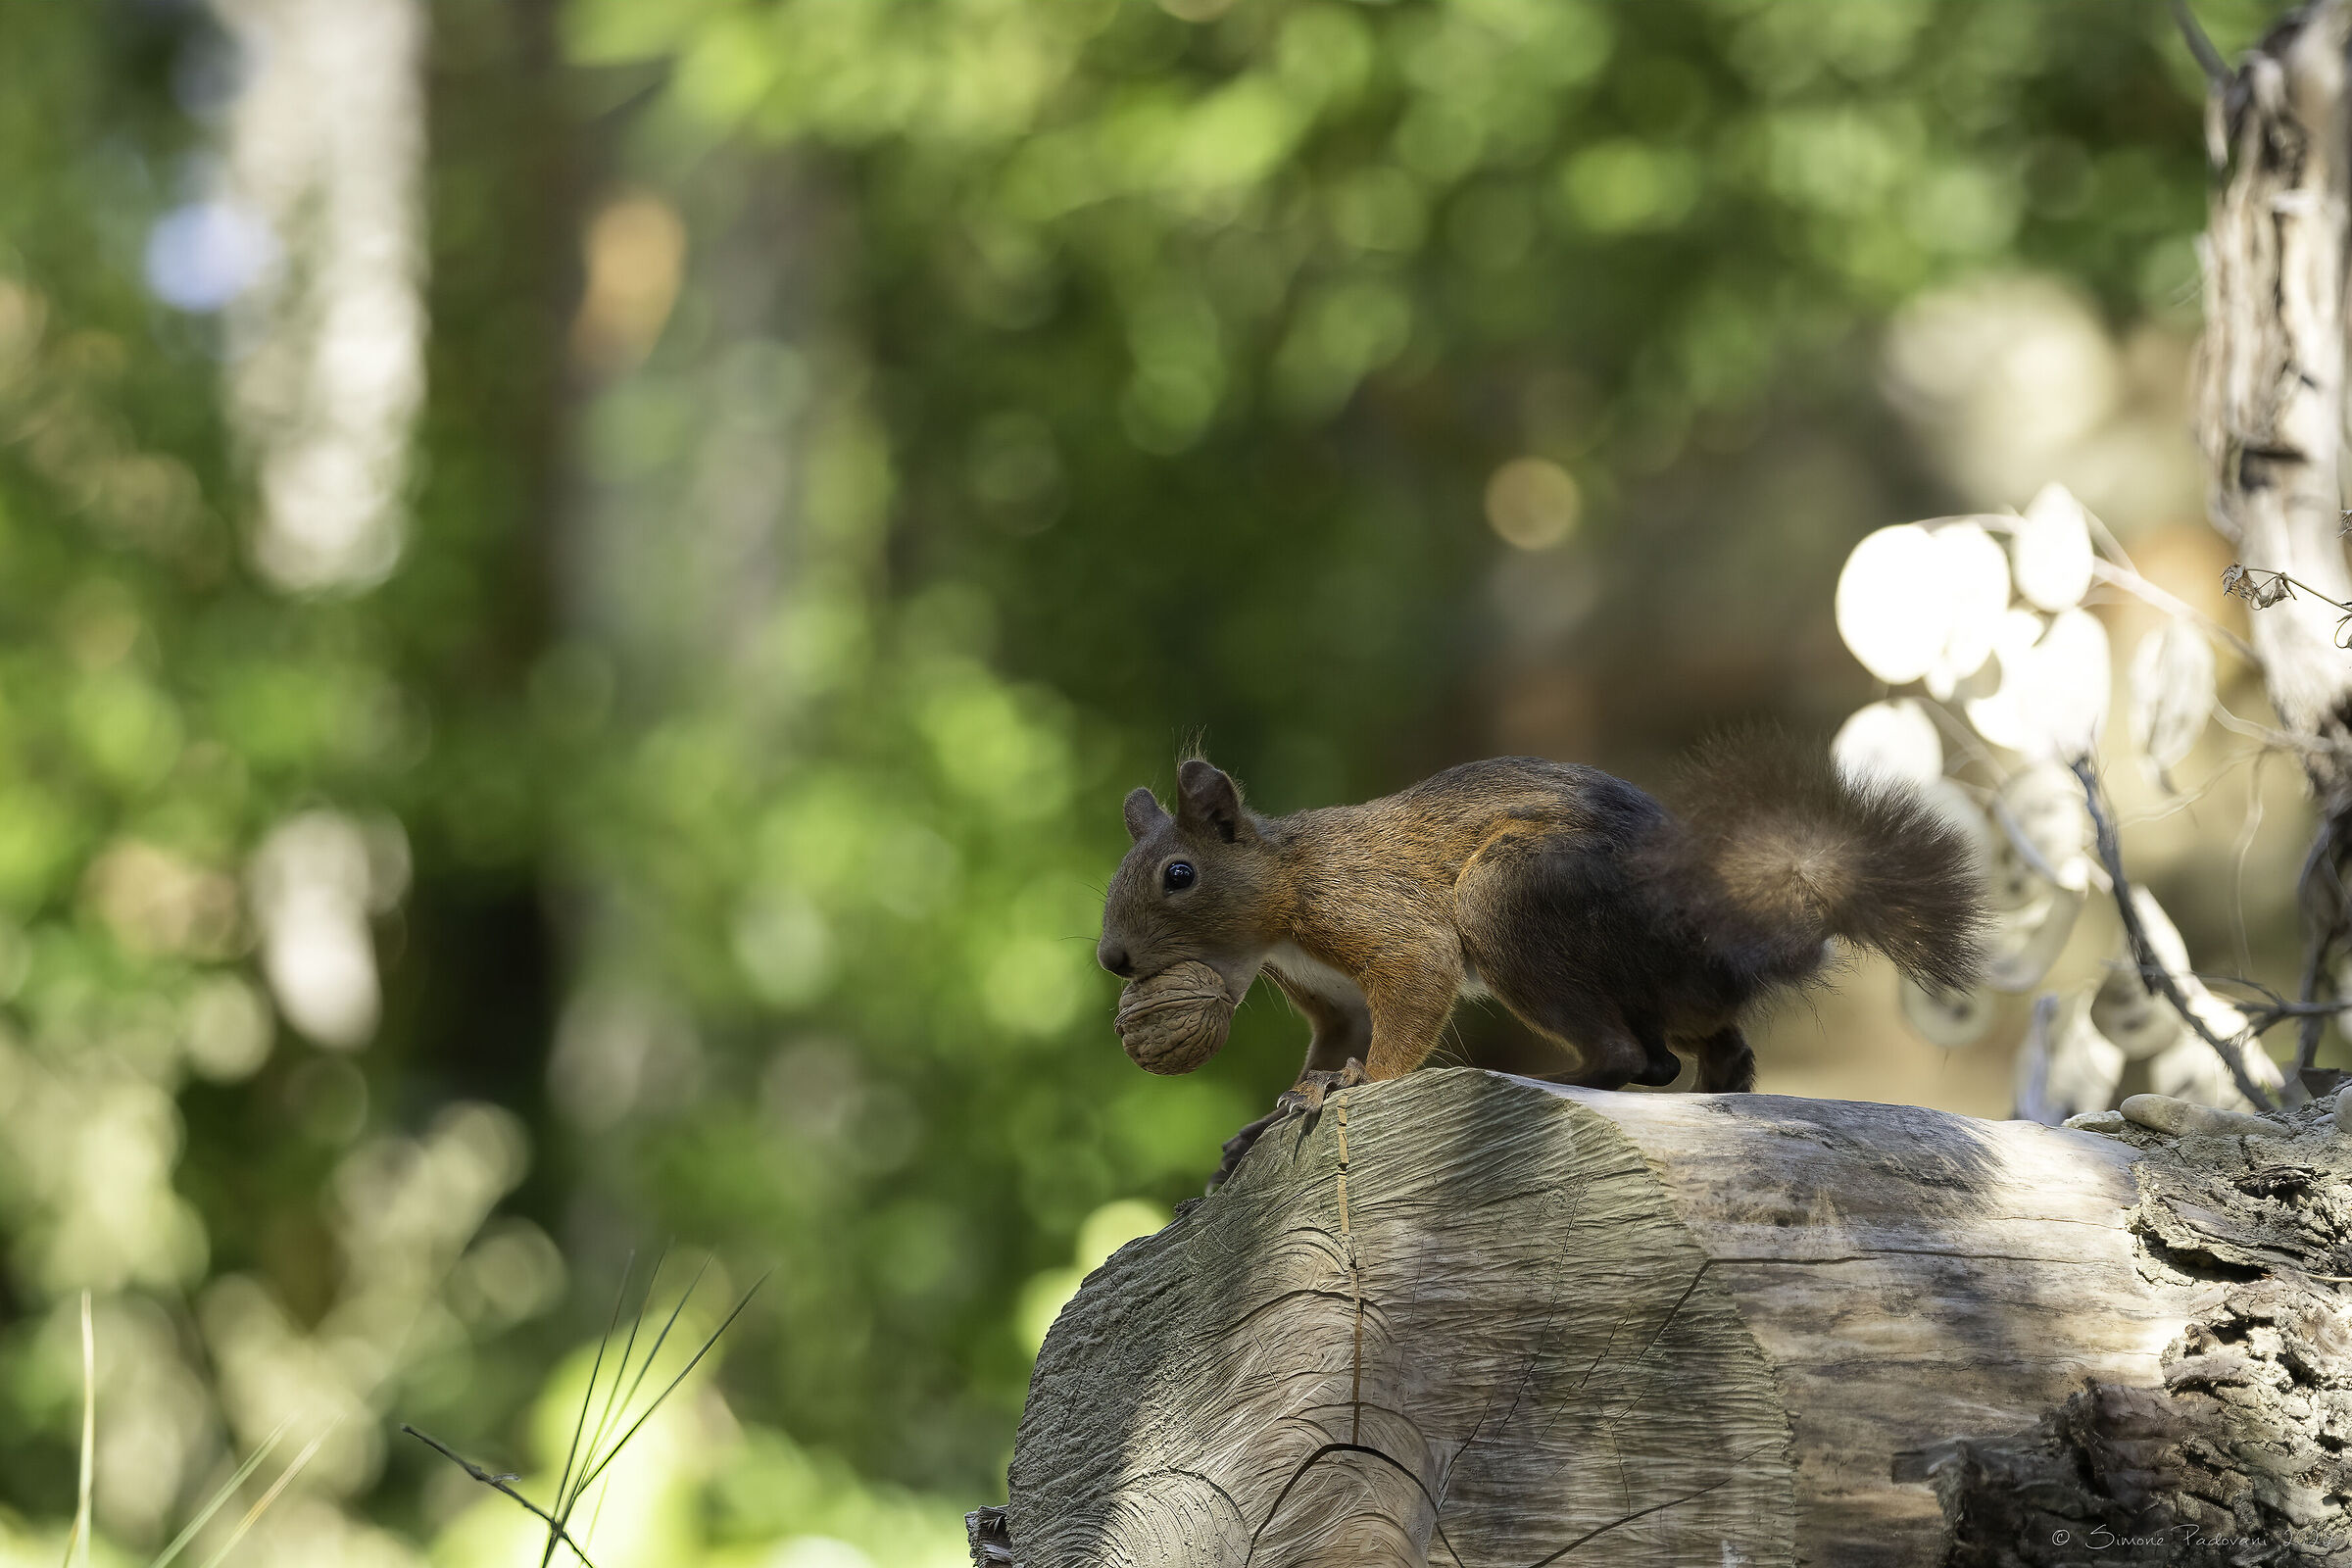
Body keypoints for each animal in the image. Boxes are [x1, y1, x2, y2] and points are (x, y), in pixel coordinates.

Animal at [1097, 733, 1984, 1139]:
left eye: (1180, 874)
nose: (1112, 959)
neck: (1282, 897)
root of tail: (1724, 941)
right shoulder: (1329, 1000)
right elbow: (1335, 1037)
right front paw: (1266, 1121)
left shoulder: (1375, 915)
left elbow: (1412, 990)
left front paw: (1355, 1085)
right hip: (1671, 995)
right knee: (1712, 1051)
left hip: (1507, 898)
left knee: (1633, 1057)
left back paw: (1562, 1073)